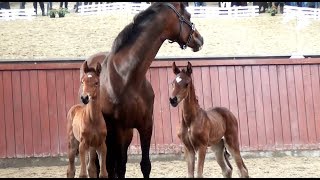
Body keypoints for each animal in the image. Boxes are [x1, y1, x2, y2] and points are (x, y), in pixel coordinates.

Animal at [81, 2, 204, 178]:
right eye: (188, 16)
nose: (199, 38)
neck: (128, 78)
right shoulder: (119, 129)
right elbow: (119, 168)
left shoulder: (145, 125)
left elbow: (145, 165)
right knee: (97, 166)